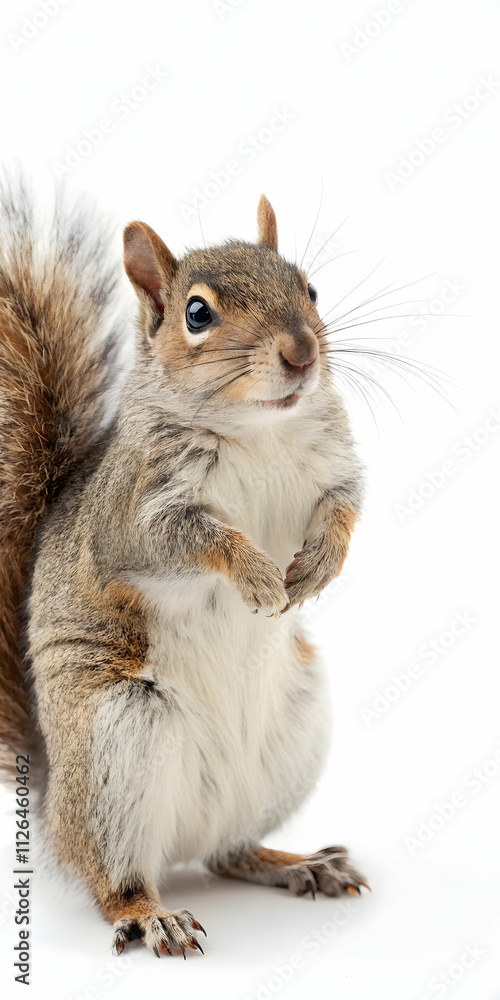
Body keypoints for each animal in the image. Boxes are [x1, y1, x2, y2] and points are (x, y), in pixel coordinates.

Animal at [0, 176, 368, 959]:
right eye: (197, 314)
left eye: (310, 288)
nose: (301, 352)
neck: (260, 428)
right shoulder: (131, 514)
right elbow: (192, 540)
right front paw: (256, 574)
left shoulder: (334, 467)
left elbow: (345, 508)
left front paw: (318, 565)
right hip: (117, 744)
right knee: (112, 876)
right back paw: (149, 913)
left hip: (295, 729)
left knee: (229, 850)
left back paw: (297, 862)